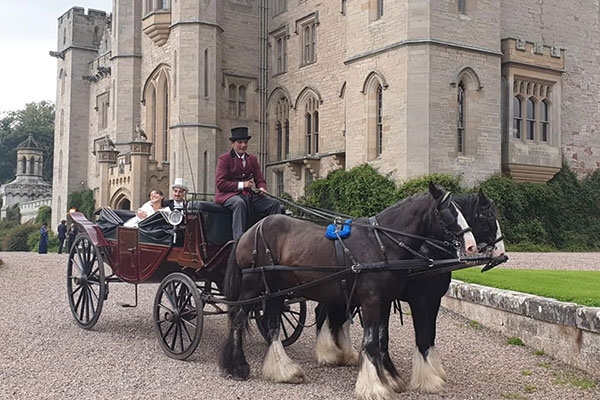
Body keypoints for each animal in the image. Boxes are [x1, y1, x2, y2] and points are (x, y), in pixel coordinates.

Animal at [218, 184, 476, 400]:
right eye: (447, 213)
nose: (472, 246)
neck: (381, 244)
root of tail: (250, 230)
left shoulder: (384, 300)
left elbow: (381, 339)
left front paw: (390, 378)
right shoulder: (374, 301)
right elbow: (372, 342)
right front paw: (374, 386)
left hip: (276, 290)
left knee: (271, 325)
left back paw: (283, 370)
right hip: (253, 286)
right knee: (238, 318)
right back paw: (237, 366)